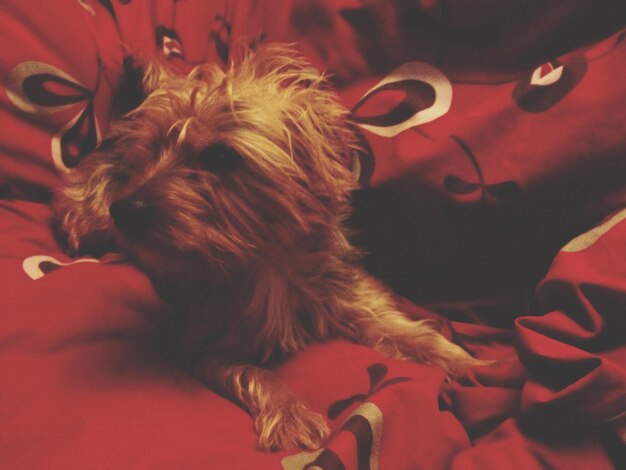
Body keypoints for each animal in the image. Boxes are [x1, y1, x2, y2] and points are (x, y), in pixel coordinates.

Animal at [54, 44, 478, 452]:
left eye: (221, 156)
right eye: (152, 148)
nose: (124, 209)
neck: (265, 260)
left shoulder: (348, 296)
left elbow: (398, 328)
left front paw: (463, 361)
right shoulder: (206, 347)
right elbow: (253, 373)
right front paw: (290, 414)